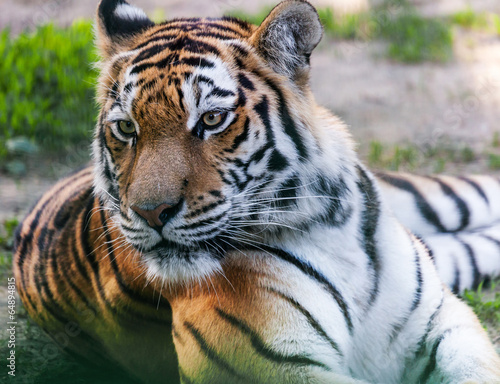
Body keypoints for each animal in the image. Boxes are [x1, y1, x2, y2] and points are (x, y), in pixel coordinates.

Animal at [10, 0, 500, 382]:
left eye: (211, 120)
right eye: (126, 129)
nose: (151, 212)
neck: (329, 225)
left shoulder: (443, 320)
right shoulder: (270, 365)